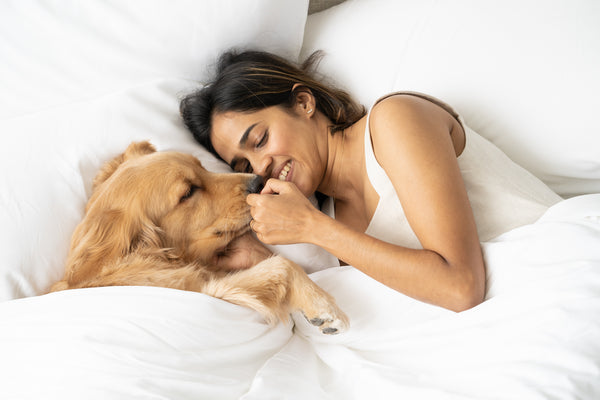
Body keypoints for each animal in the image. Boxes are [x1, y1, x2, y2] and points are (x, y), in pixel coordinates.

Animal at [52, 141, 352, 334]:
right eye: (187, 192)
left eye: (202, 167)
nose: (258, 182)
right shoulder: (207, 291)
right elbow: (283, 265)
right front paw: (323, 306)